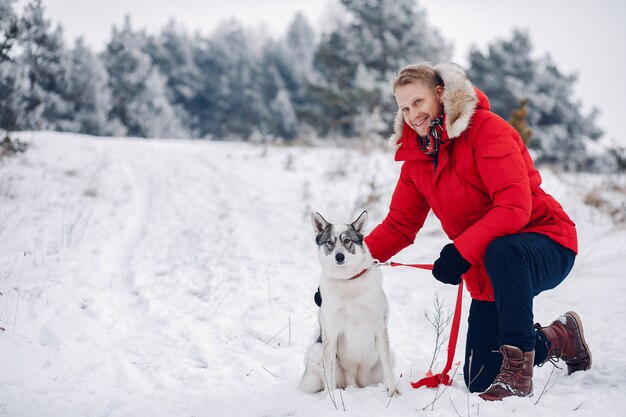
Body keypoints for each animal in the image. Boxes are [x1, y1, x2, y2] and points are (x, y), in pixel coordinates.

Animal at [298, 211, 400, 396]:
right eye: (330, 242)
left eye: (347, 241)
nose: (340, 256)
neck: (347, 280)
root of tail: (354, 380)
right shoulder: (330, 333)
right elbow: (329, 372)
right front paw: (330, 399)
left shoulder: (380, 327)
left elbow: (389, 369)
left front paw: (393, 392)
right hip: (316, 352)